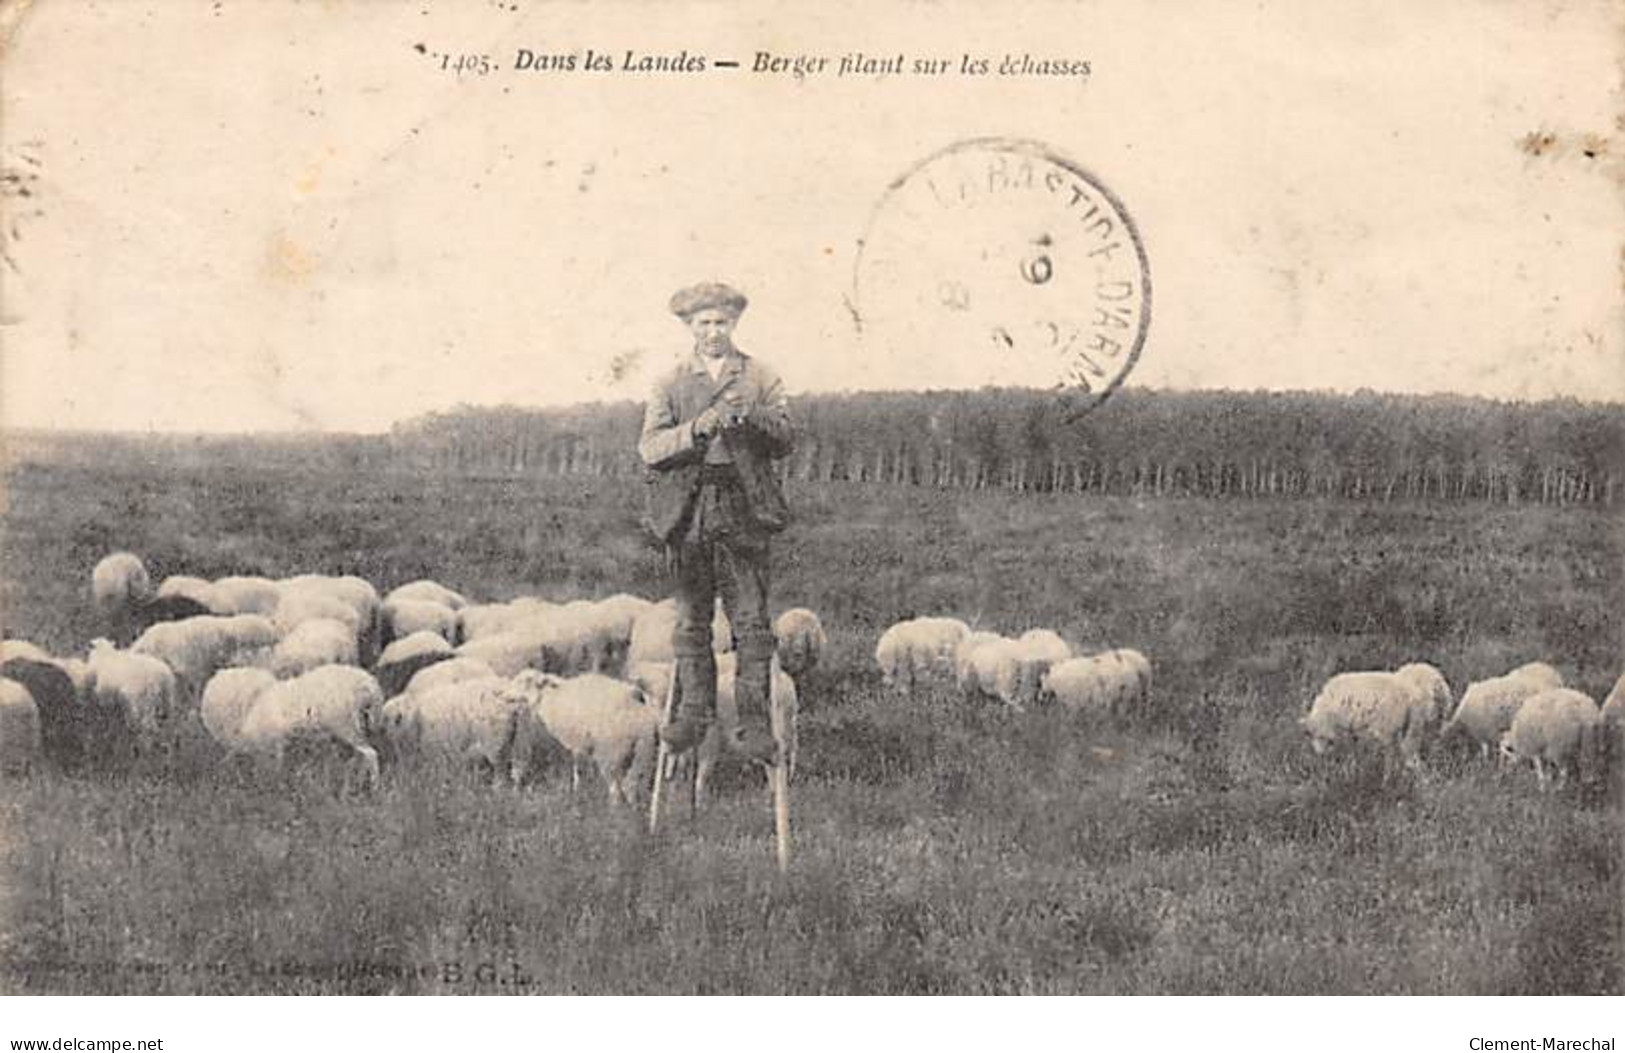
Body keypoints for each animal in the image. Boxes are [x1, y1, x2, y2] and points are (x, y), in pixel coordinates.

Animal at [234, 663, 385, 786]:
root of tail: (368, 685)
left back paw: (374, 785)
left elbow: (279, 763)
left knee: (370, 753)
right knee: (363, 755)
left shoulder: (277, 742)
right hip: (365, 724)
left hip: (345, 725)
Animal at [373, 679, 526, 786]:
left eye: (386, 719)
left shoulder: (434, 753)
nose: (379, 733)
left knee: (501, 774)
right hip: (513, 743)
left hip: (496, 744)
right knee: (513, 772)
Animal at [503, 669, 663, 809]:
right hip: (645, 754)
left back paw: (612, 813)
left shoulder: (579, 743)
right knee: (635, 785)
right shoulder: (581, 746)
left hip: (611, 755)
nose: (504, 695)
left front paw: (576, 794)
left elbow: (578, 770)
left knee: (617, 790)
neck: (552, 700)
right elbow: (578, 770)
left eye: (525, 681)